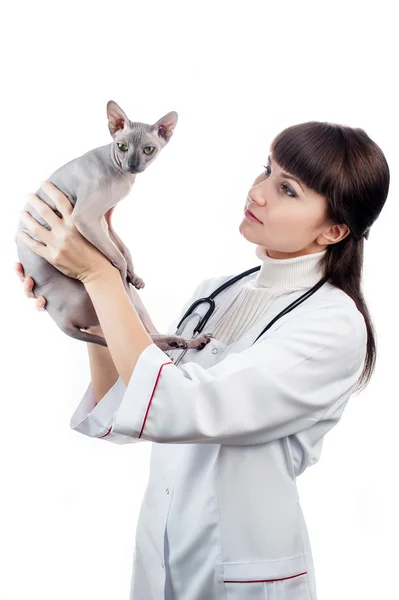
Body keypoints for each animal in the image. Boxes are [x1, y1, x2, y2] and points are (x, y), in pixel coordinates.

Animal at [16, 98, 212, 352]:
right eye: (122, 147)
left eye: (148, 150)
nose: (132, 165)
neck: (121, 173)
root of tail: (59, 321)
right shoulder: (87, 218)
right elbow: (119, 255)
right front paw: (125, 270)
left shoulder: (105, 219)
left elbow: (124, 249)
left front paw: (134, 275)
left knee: (145, 334)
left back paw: (186, 340)